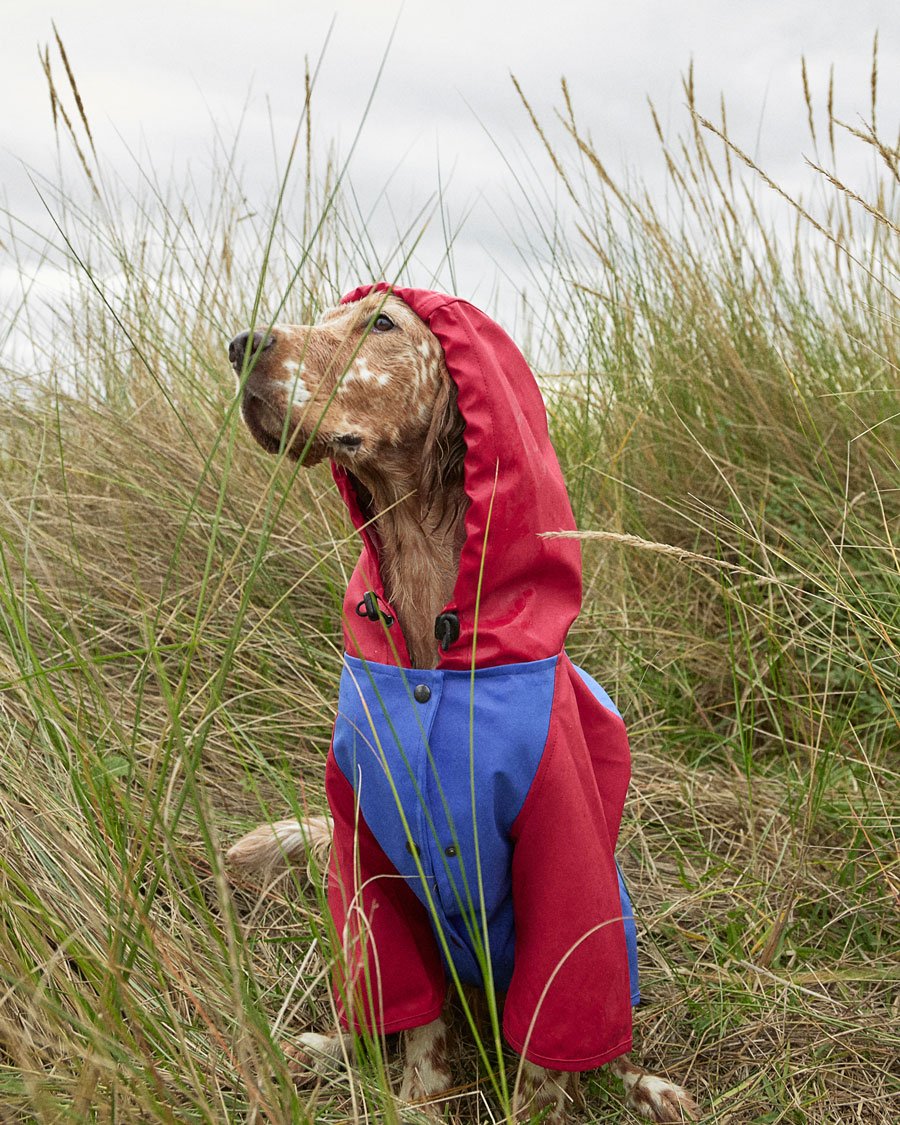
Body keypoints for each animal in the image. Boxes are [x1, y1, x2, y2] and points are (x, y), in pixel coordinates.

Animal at [222, 285, 697, 1120]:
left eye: (381, 321)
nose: (240, 344)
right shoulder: (371, 856)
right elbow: (419, 1029)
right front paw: (416, 1101)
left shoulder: (562, 861)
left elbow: (552, 1048)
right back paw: (320, 1047)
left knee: (601, 1046)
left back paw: (647, 1086)